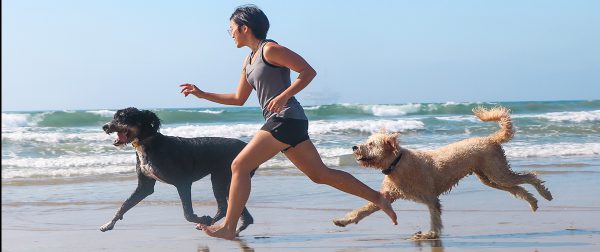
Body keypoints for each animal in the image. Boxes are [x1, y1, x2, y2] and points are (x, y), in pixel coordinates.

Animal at [101, 107, 255, 234]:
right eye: (114, 116)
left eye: (123, 117)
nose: (105, 126)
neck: (149, 143)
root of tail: (246, 145)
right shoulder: (144, 186)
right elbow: (124, 205)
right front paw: (108, 224)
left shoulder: (183, 183)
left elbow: (187, 214)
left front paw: (202, 219)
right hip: (230, 179)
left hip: (220, 178)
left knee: (223, 207)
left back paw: (209, 223)